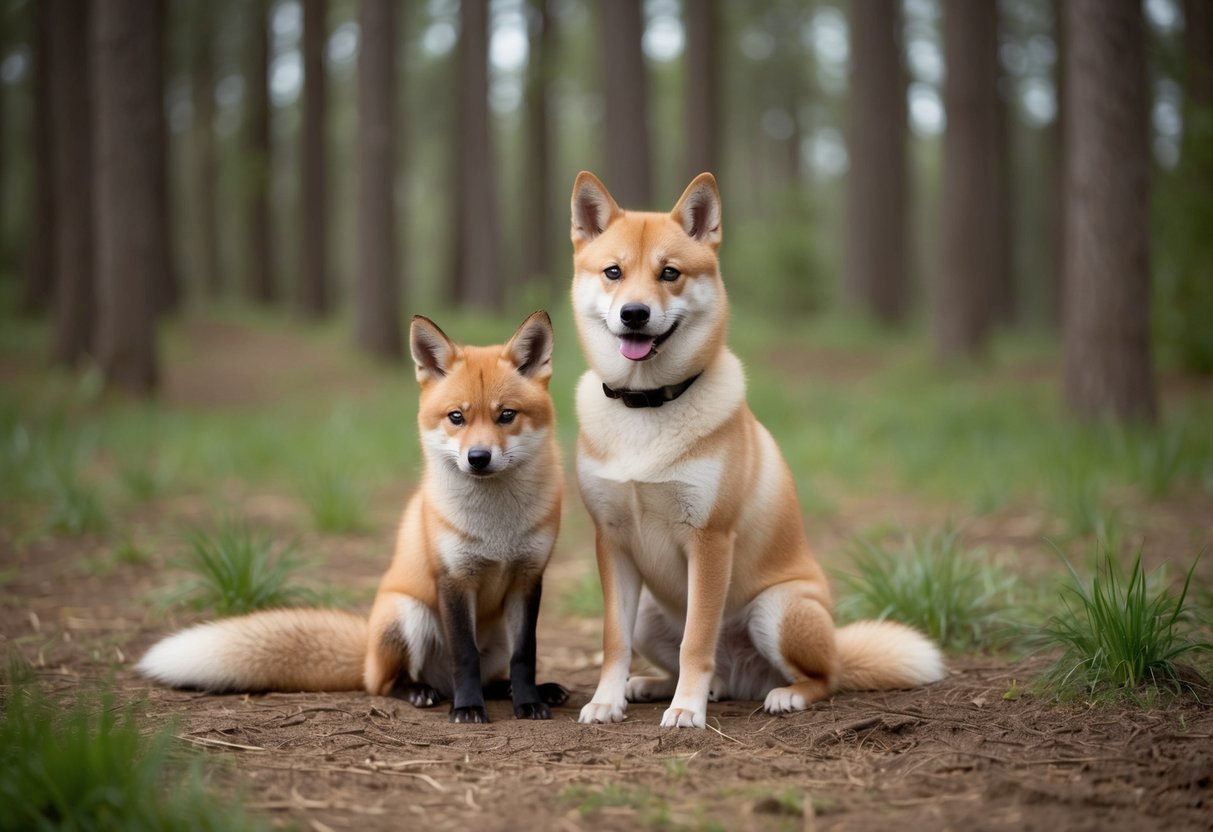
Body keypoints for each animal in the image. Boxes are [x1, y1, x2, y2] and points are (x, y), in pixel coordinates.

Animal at [137, 311, 569, 723]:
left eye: (507, 415)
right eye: (456, 417)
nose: (478, 458)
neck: (497, 528)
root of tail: (366, 655)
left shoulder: (528, 577)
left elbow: (525, 656)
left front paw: (529, 703)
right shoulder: (453, 579)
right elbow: (465, 656)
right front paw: (466, 710)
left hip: (492, 636)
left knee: (493, 674)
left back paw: (521, 690)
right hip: (407, 615)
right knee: (386, 684)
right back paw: (422, 692)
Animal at [568, 171, 946, 728]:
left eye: (670, 273)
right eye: (613, 272)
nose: (634, 314)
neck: (647, 405)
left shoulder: (710, 541)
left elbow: (697, 641)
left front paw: (687, 711)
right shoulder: (611, 542)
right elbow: (614, 641)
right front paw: (606, 701)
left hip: (780, 610)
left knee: (824, 678)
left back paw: (782, 694)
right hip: (650, 615)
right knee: (705, 670)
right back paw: (655, 685)